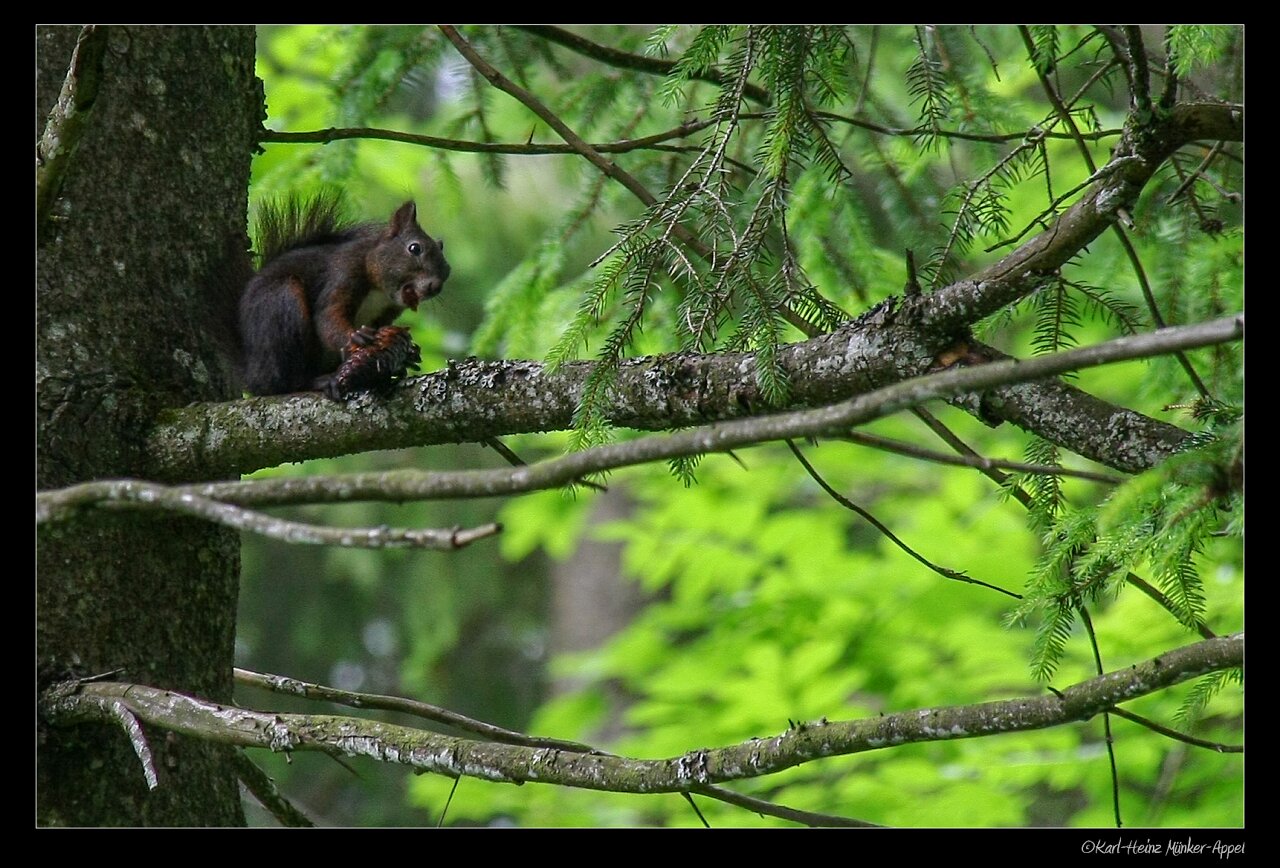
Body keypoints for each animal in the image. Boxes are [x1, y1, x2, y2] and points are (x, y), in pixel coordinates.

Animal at [238, 192, 453, 399]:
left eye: (447, 270)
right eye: (415, 248)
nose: (435, 287)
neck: (379, 291)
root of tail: (251, 372)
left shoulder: (389, 311)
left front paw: (408, 353)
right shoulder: (343, 273)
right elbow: (328, 315)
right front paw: (354, 337)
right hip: (282, 304)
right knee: (280, 383)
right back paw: (319, 381)